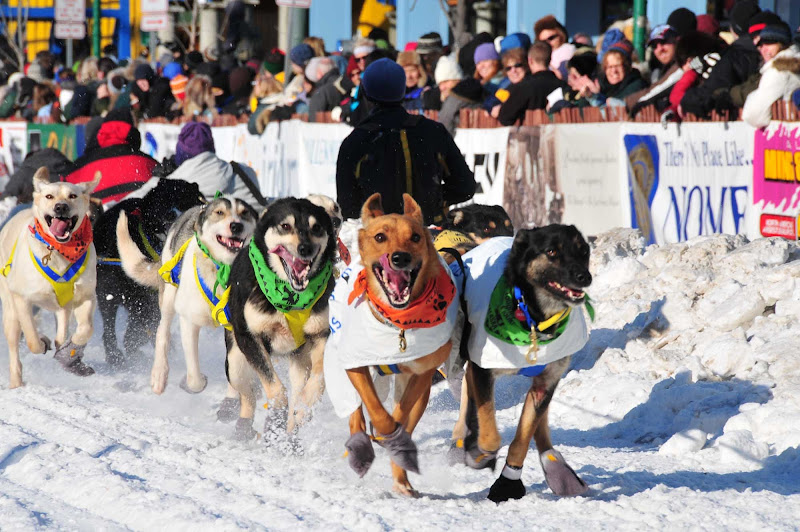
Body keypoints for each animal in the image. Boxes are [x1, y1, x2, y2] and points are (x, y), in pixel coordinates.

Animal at [0, 167, 101, 386]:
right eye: (49, 196)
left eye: (72, 195)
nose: (61, 207)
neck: (57, 250)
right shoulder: (22, 299)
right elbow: (32, 339)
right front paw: (42, 342)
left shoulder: (85, 296)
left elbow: (86, 329)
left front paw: (72, 349)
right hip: (10, 312)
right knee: (15, 347)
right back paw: (17, 383)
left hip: (62, 307)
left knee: (62, 331)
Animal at [225, 197, 338, 438]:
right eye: (285, 226)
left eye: (316, 227)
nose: (305, 248)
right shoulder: (249, 337)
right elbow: (274, 386)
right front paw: (277, 407)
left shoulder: (321, 334)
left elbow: (319, 379)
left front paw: (304, 407)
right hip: (236, 363)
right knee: (247, 393)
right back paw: (245, 426)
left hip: (299, 361)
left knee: (296, 390)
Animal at [450, 223, 592, 502]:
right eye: (551, 251)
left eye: (583, 250)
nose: (584, 276)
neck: (534, 319)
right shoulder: (482, 369)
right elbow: (490, 432)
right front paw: (479, 452)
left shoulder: (548, 378)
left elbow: (524, 435)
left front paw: (508, 482)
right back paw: (462, 437)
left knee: (539, 421)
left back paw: (554, 464)